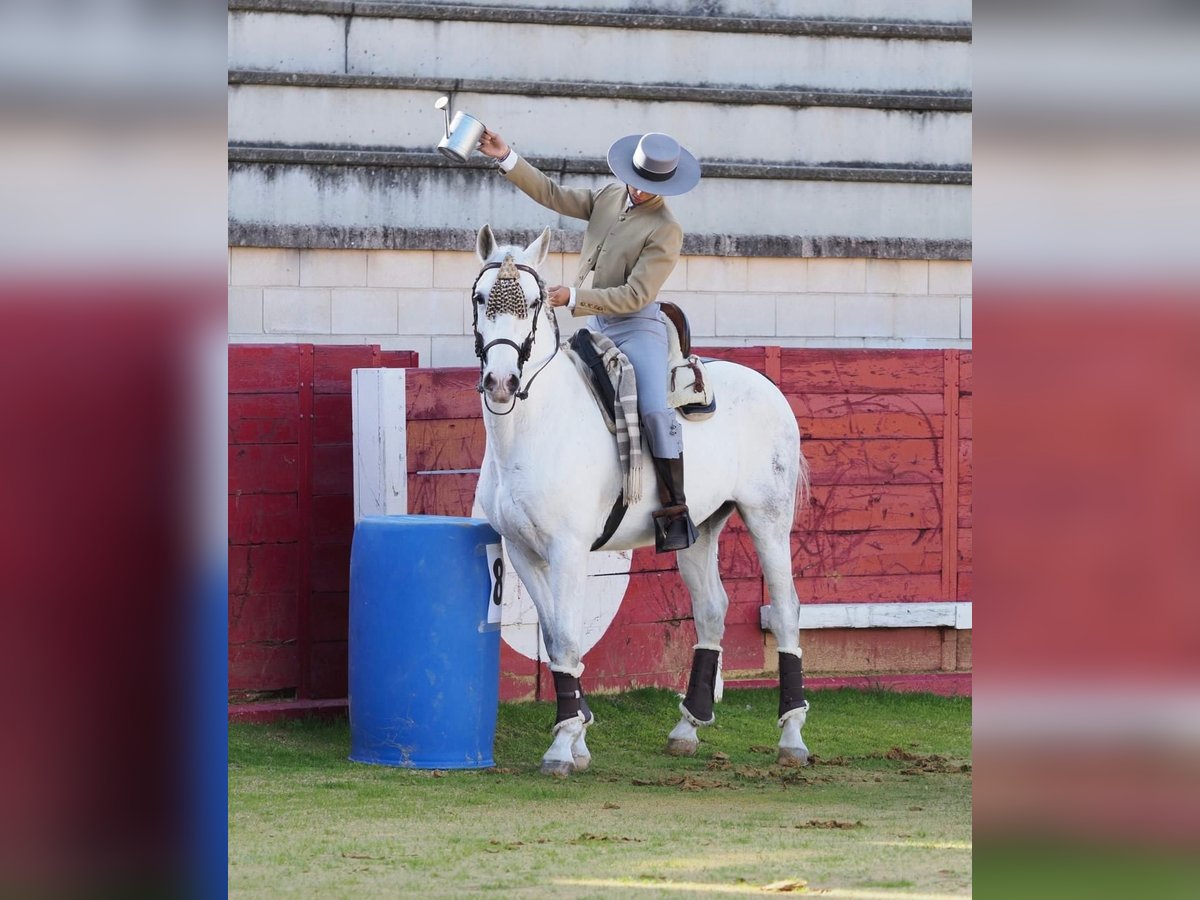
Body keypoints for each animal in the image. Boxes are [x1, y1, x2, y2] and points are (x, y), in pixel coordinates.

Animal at [472, 225, 811, 777]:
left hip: (769, 517)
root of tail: (766, 385)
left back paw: (792, 737)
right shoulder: (521, 552)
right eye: (481, 298)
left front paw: (563, 746)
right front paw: (578, 733)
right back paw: (687, 728)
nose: (501, 382)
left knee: (784, 609)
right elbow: (554, 637)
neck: (531, 428)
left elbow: (568, 635)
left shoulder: (568, 552)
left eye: (533, 303)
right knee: (711, 608)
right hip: (699, 529)